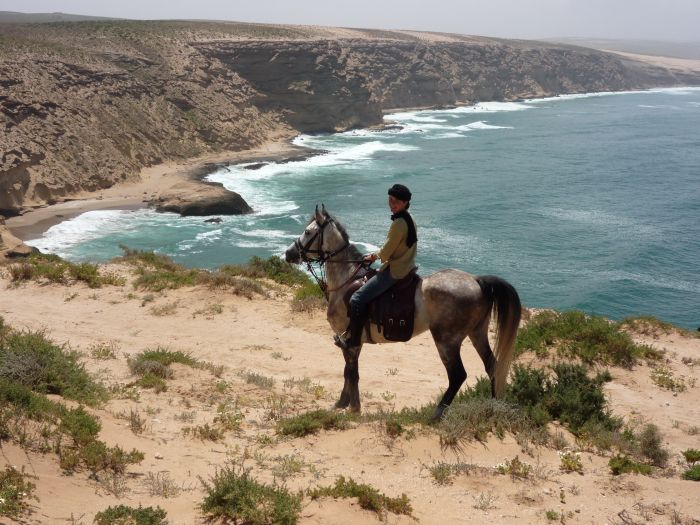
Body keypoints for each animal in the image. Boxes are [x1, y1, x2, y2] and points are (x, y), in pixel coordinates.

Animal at [284, 204, 520, 418]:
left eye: (308, 232)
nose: (288, 254)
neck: (346, 278)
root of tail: (478, 281)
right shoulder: (350, 341)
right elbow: (347, 372)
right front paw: (344, 402)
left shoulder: (351, 340)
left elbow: (352, 372)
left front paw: (353, 407)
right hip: (477, 332)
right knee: (492, 366)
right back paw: (493, 407)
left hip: (447, 340)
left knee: (458, 375)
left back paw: (436, 415)